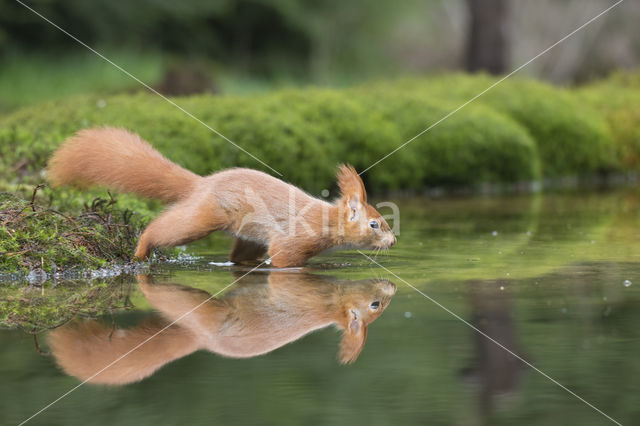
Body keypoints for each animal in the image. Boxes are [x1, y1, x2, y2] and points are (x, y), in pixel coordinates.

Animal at [47, 127, 396, 266]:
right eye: (375, 224)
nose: (393, 242)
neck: (327, 221)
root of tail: (202, 183)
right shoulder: (295, 241)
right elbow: (284, 259)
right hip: (203, 217)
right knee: (163, 228)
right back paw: (142, 250)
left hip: (249, 236)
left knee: (238, 257)